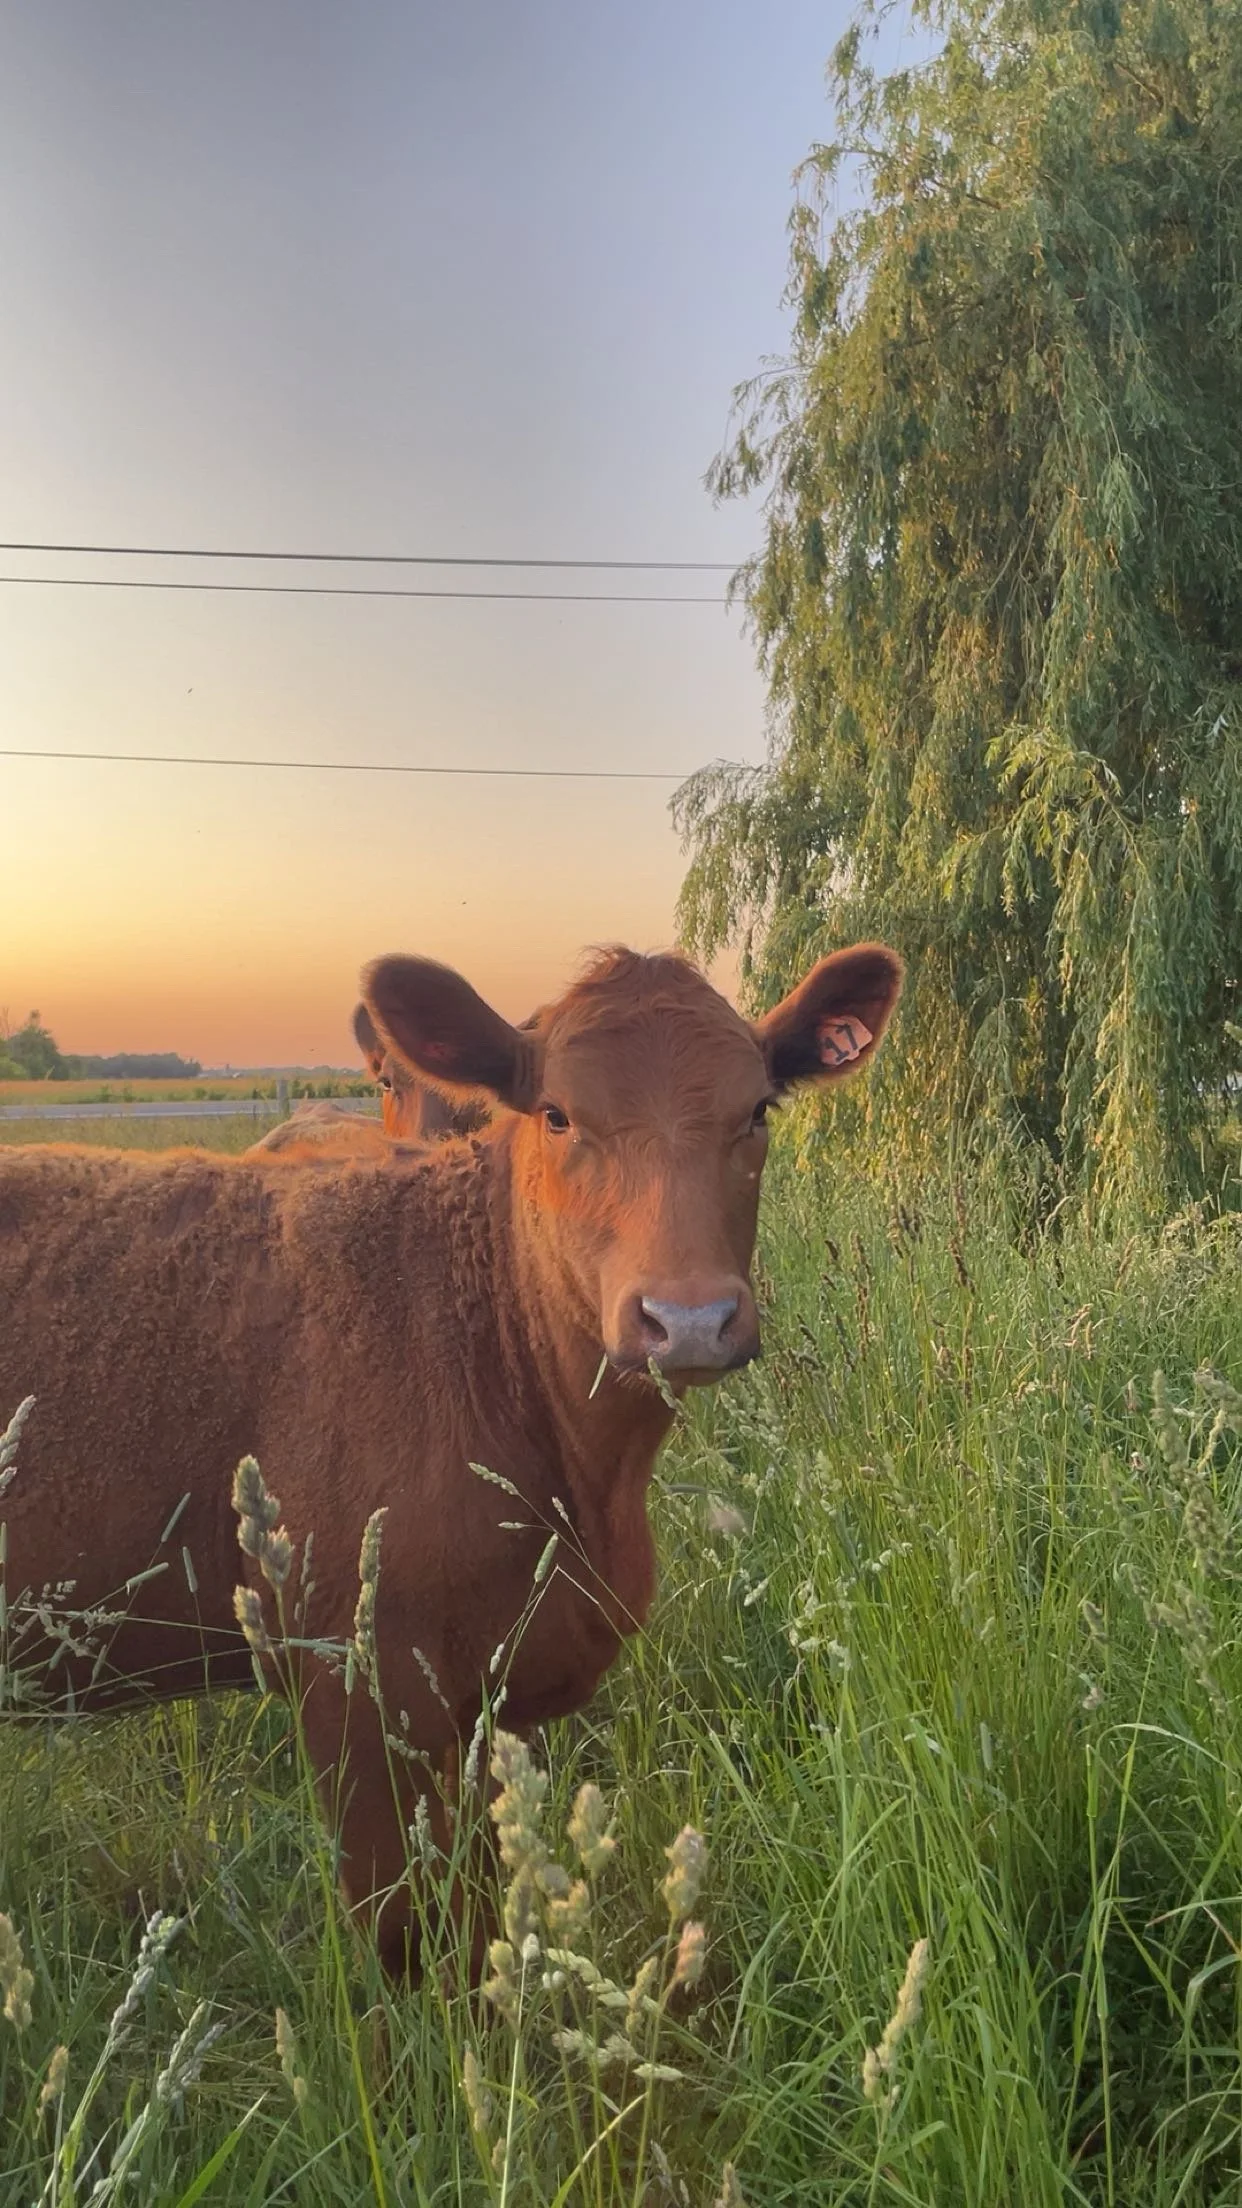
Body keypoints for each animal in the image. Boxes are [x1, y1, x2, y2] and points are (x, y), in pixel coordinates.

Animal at [0, 940, 902, 1974]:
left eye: (757, 1111)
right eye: (556, 1114)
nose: (688, 1318)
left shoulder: (486, 1700)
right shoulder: (356, 1682)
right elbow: (406, 1934)